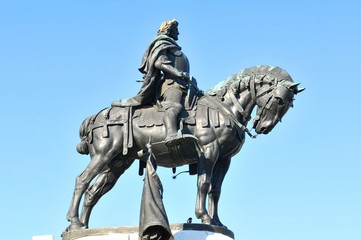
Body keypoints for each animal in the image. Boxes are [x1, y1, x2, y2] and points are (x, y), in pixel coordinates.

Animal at [65, 64, 304, 231]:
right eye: (280, 100)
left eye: (290, 104)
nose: (264, 127)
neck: (225, 108)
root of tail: (95, 117)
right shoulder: (208, 151)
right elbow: (203, 184)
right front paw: (203, 217)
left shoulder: (224, 159)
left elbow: (216, 190)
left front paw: (217, 222)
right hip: (104, 154)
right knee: (81, 181)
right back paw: (74, 221)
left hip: (117, 162)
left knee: (94, 191)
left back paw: (82, 227)